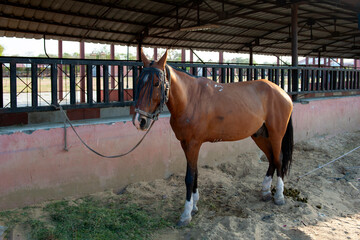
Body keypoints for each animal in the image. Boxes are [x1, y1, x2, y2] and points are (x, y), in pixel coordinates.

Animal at [132, 49, 292, 227]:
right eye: (138, 81)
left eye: (156, 83)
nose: (139, 121)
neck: (190, 99)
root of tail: (281, 92)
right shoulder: (186, 144)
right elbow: (194, 173)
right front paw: (194, 206)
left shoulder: (193, 144)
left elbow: (189, 177)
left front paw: (186, 214)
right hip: (260, 135)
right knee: (271, 159)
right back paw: (265, 191)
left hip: (276, 135)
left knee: (278, 160)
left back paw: (279, 196)